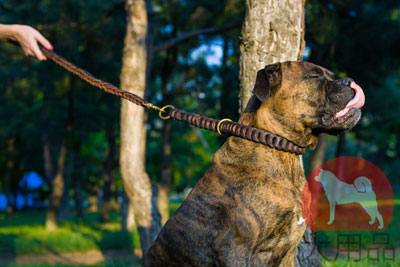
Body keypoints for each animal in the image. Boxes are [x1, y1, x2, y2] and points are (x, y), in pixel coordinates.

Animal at [143, 61, 362, 266]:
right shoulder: (235, 249)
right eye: (314, 76)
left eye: (332, 76)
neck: (278, 145)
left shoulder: (288, 253)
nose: (349, 80)